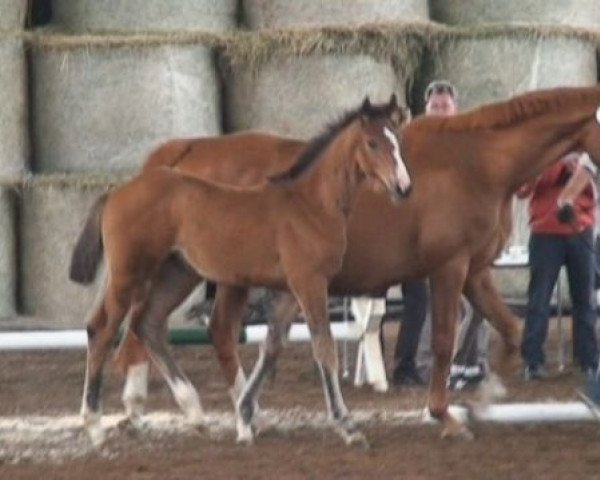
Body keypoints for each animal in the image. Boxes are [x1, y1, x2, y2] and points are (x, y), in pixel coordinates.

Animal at [72, 95, 412, 448]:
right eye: (372, 143)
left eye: (398, 141)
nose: (402, 187)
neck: (310, 204)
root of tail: (116, 191)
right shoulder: (310, 284)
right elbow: (324, 349)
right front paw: (347, 425)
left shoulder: (290, 291)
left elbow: (272, 346)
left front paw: (246, 413)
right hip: (129, 274)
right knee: (102, 329)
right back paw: (94, 424)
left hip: (178, 273)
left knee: (147, 323)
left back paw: (195, 412)